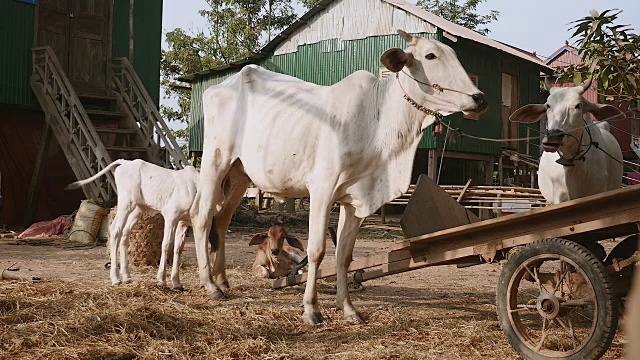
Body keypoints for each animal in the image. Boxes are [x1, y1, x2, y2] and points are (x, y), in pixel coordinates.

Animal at [189, 29, 484, 324]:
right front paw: (311, 309)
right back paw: (210, 285)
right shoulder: (322, 190)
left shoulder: (356, 200)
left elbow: (344, 254)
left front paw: (348, 308)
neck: (376, 122)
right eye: (430, 55)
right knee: (201, 217)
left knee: (221, 221)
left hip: (239, 173)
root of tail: (221, 85)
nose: (479, 98)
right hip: (215, 160)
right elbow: (317, 250)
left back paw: (222, 279)